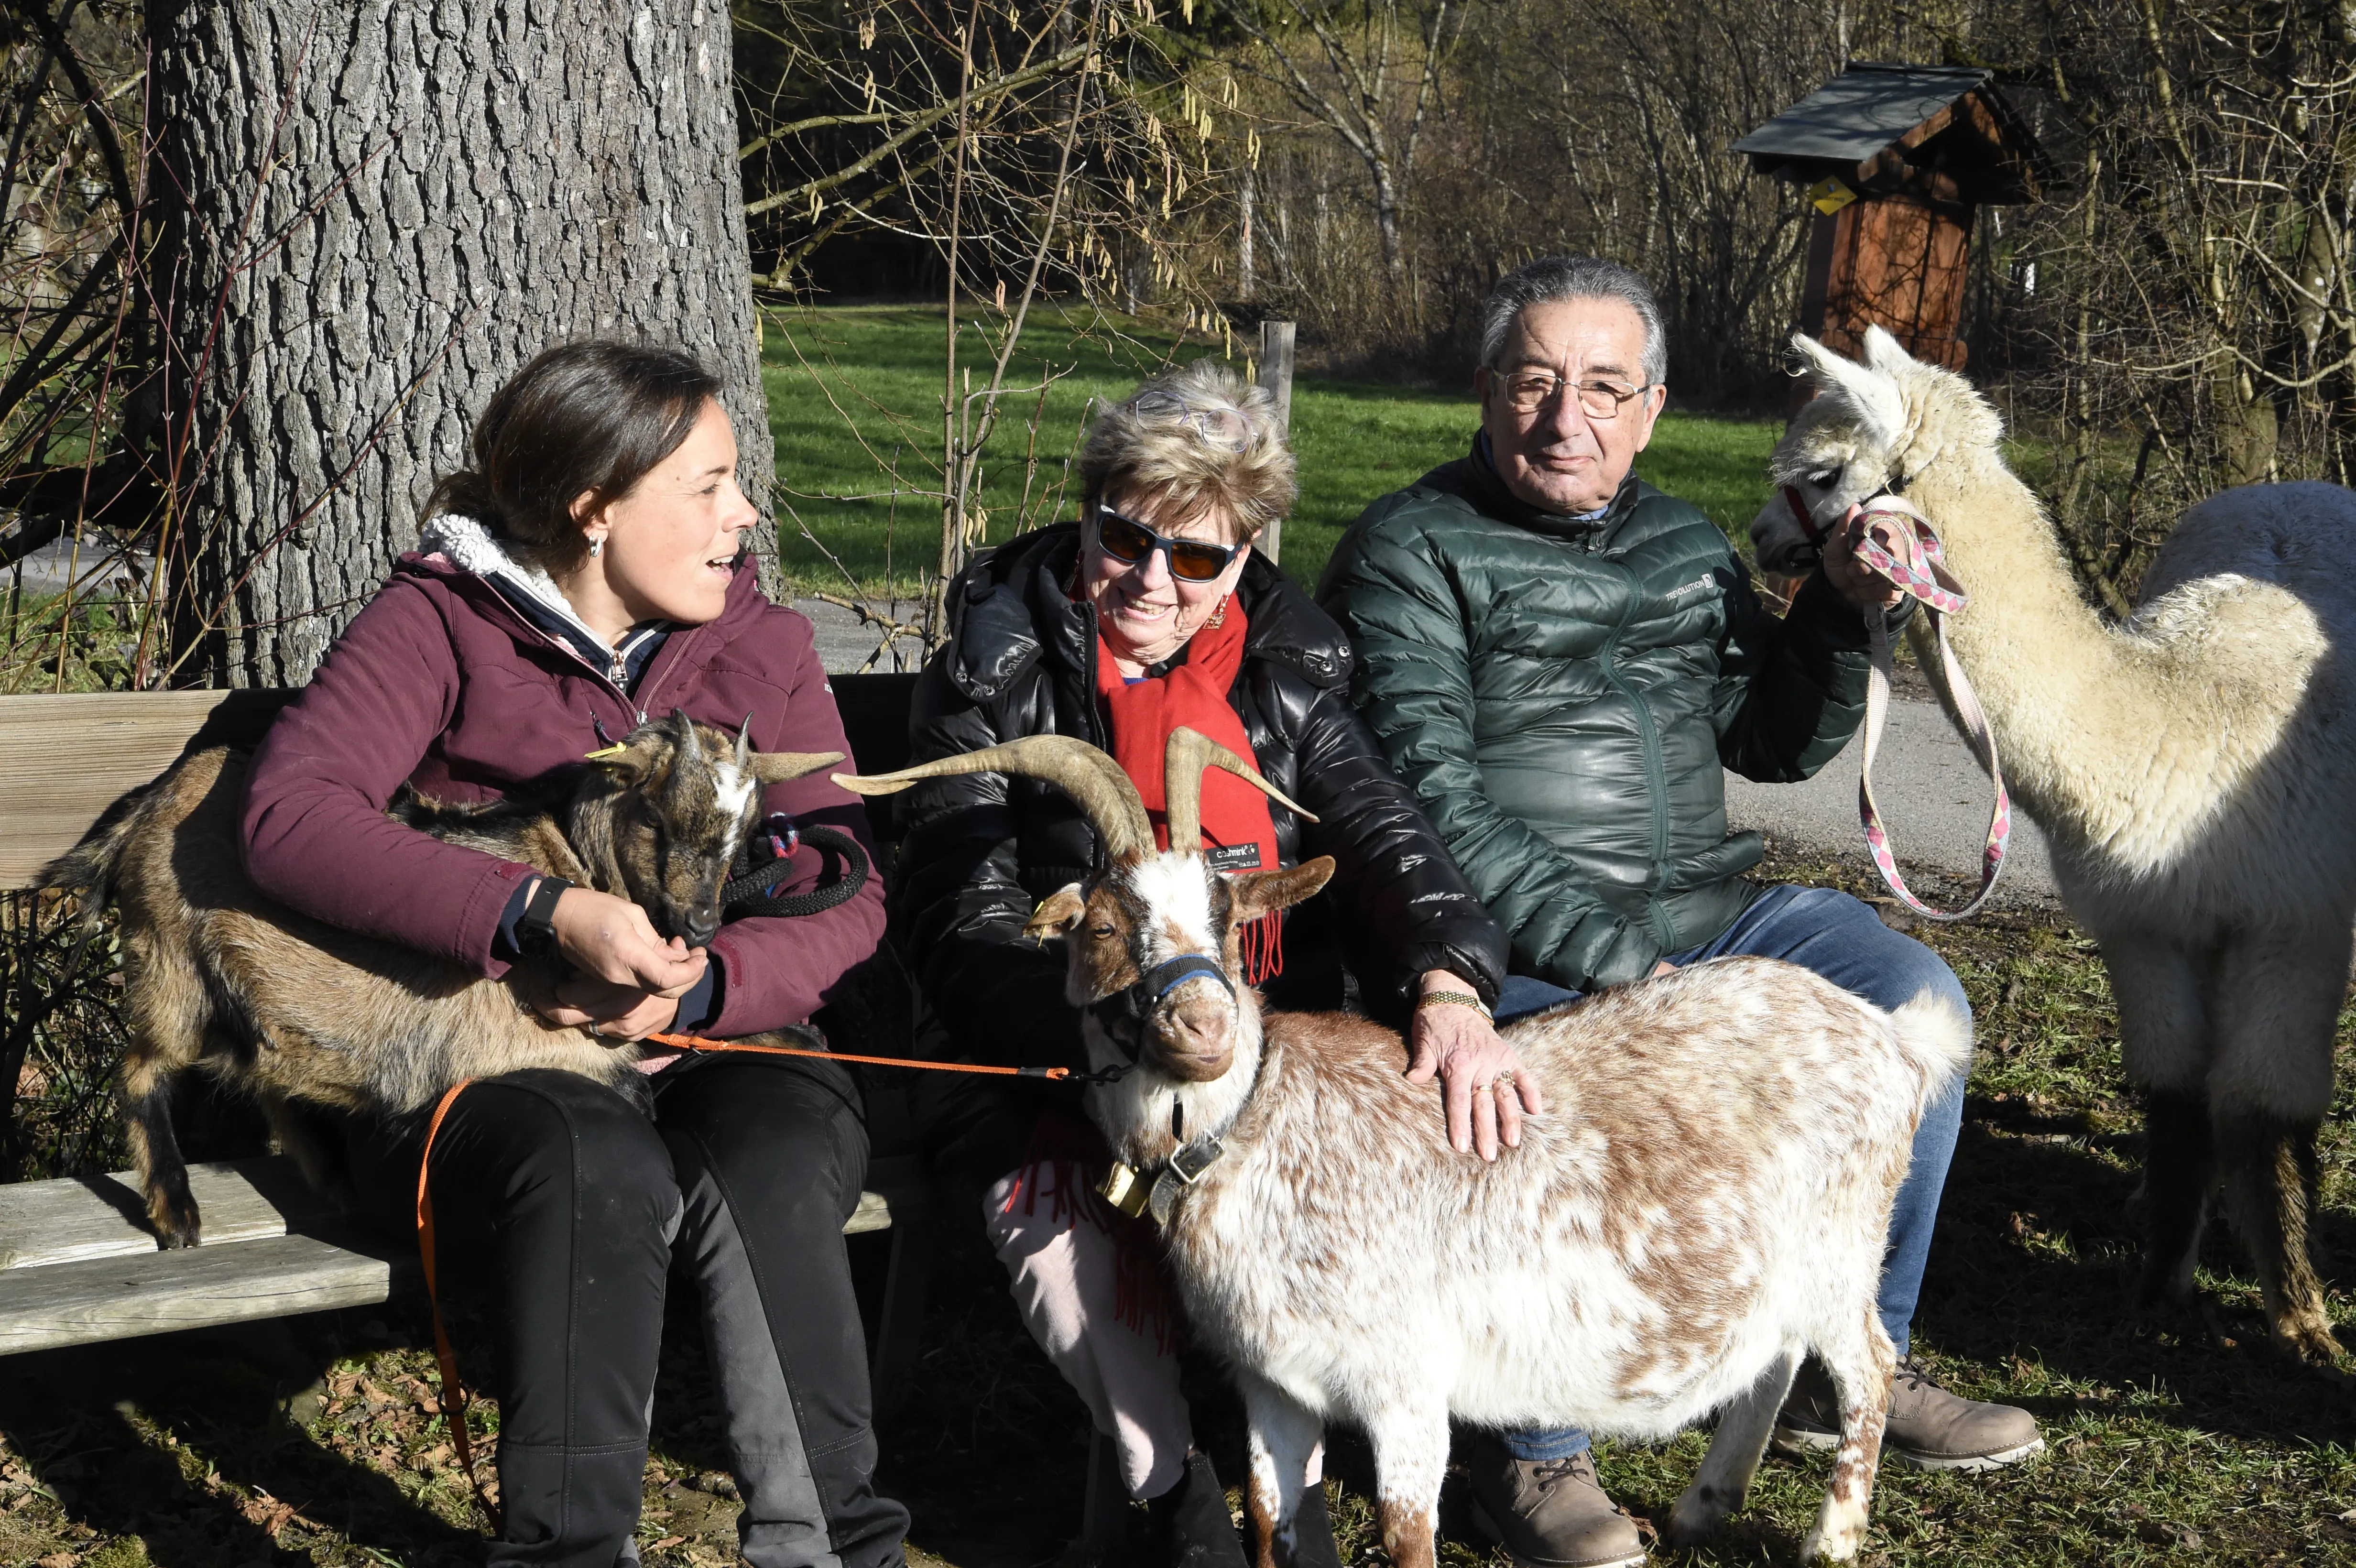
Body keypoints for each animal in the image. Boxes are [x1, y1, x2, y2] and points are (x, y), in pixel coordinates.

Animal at [44, 706, 839, 1243]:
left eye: (742, 841)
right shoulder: (503, 1043)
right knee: (141, 1070)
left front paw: (802, 1037)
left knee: (268, 1073)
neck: (568, 860)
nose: (702, 928)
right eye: (657, 823)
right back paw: (177, 1210)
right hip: (170, 960)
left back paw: (331, 1175)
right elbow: (632, 1087)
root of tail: (157, 797)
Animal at [839, 734, 1979, 1563]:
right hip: (1777, 1265)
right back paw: (1704, 1509)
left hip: (1841, 1243)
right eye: (1108, 928)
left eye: (1224, 917)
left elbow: (1404, 1535)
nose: (1204, 1027)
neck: (1261, 1138)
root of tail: (1892, 1038)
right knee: (1774, 1356)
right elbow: (1270, 1516)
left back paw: (1830, 1541)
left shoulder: (1402, 1380)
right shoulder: (1275, 1383)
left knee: (1867, 1366)